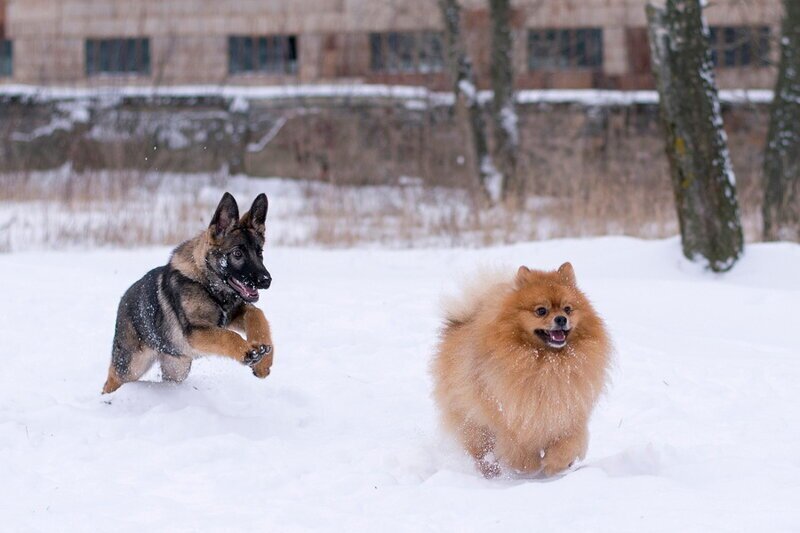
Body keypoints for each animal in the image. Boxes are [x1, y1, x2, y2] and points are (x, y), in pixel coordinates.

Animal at [101, 193, 276, 392]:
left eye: (259, 253)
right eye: (237, 254)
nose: (266, 280)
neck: (207, 284)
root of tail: (124, 298)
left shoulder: (235, 313)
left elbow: (257, 314)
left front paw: (264, 360)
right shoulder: (195, 331)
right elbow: (228, 335)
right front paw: (248, 351)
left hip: (177, 366)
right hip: (131, 366)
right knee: (112, 379)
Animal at [432, 262, 612, 478]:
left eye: (568, 309)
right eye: (541, 311)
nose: (561, 319)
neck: (548, 364)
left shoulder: (568, 415)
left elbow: (568, 444)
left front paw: (556, 464)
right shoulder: (511, 418)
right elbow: (519, 450)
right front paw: (530, 468)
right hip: (473, 423)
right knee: (480, 451)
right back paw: (491, 471)